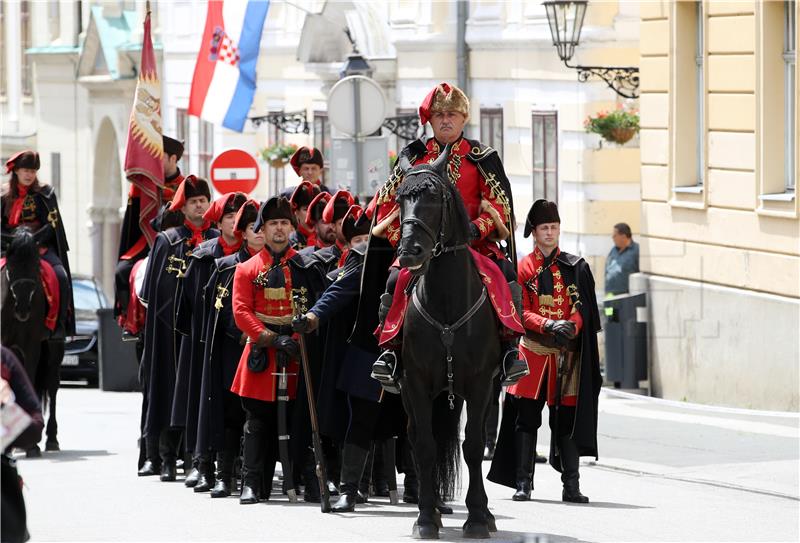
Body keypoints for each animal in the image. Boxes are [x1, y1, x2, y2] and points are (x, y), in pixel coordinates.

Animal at [0, 227, 65, 456]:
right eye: (11, 265)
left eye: (36, 264)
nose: (23, 309)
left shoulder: (32, 345)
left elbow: (28, 378)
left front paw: (31, 445)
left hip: (55, 347)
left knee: (53, 385)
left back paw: (52, 438)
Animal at [396, 146, 500, 540]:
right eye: (401, 198)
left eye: (434, 197)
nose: (410, 251)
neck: (446, 301)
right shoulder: (414, 382)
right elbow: (425, 445)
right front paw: (426, 517)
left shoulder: (481, 383)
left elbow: (472, 445)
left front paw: (478, 517)